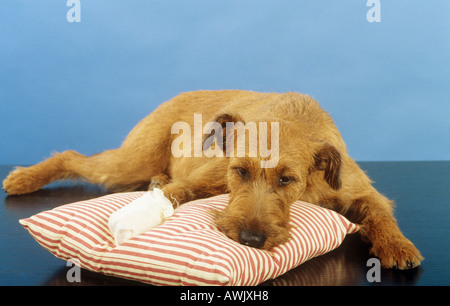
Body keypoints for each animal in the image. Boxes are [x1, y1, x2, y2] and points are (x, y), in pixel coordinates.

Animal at [3, 89, 424, 268]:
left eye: (287, 180)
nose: (250, 239)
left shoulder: (360, 190)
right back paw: (23, 178)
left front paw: (397, 245)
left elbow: (379, 211)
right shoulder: (208, 175)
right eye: (239, 170)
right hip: (129, 162)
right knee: (73, 156)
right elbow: (177, 191)